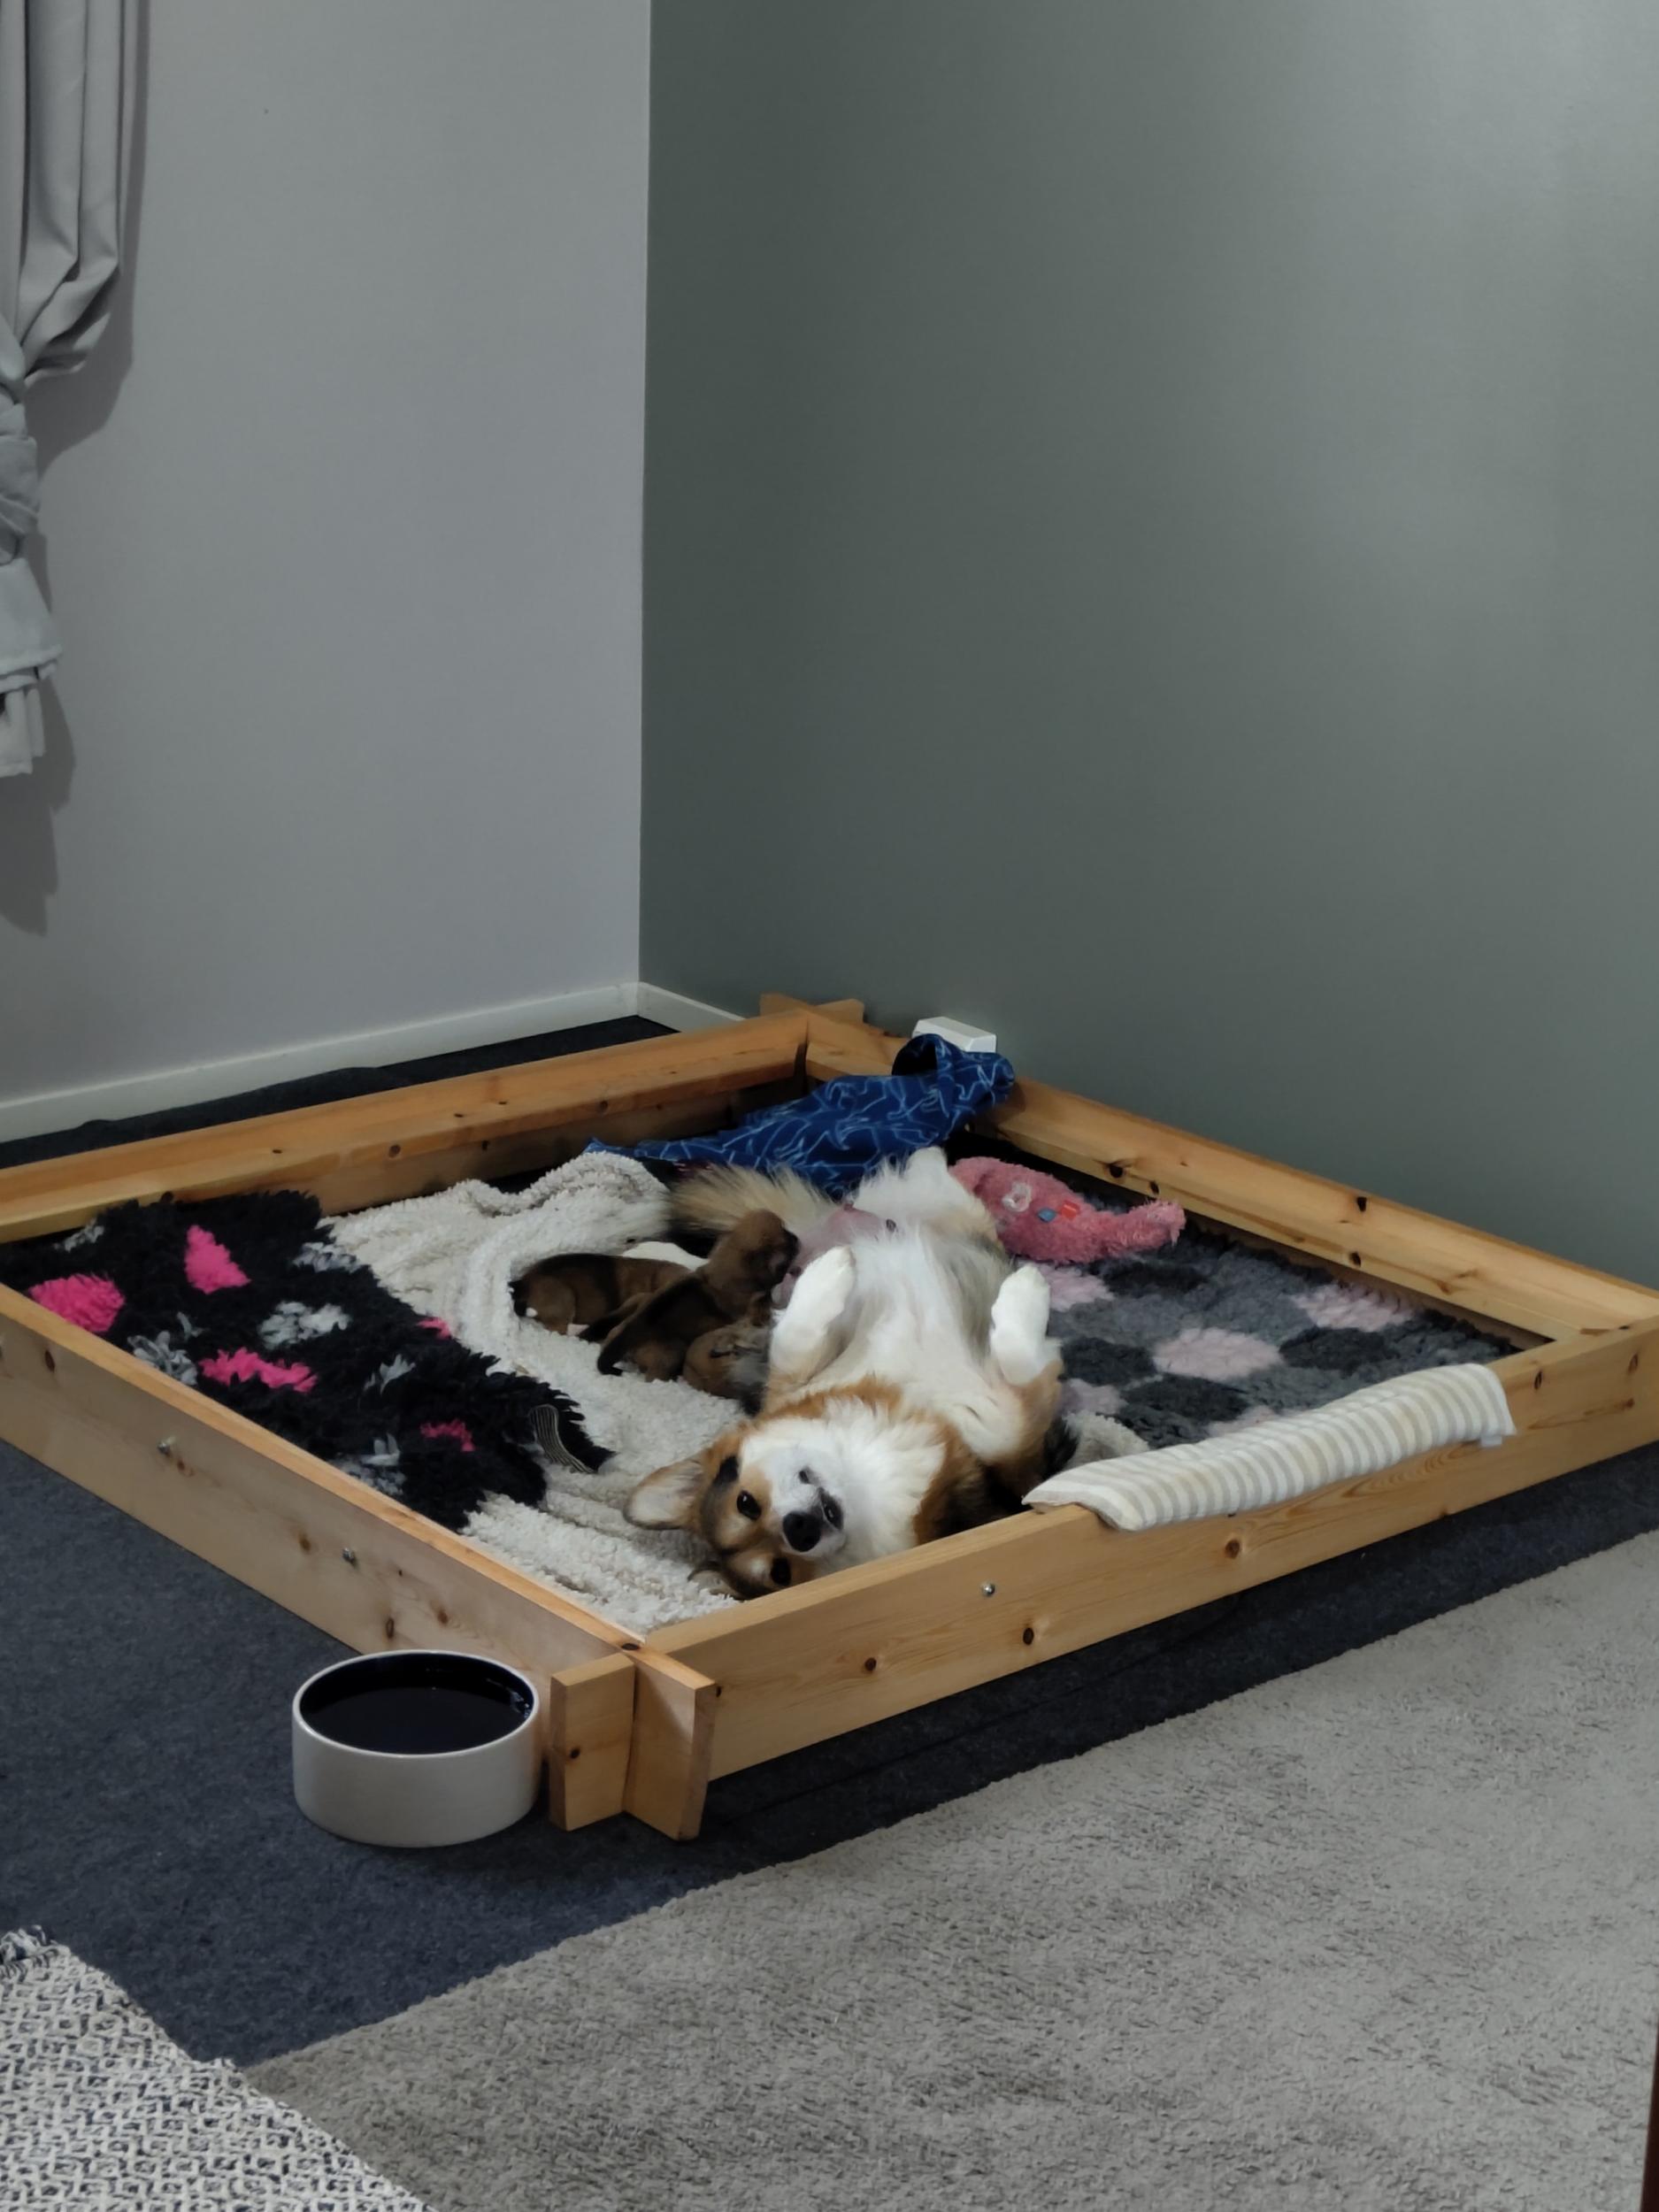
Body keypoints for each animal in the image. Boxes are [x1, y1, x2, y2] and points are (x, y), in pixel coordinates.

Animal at [625, 1150, 1061, 1596]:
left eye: (745, 1503)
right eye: (780, 1572)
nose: (799, 1528)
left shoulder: (801, 1375)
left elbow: (794, 1336)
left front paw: (827, 1273)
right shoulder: (1012, 1451)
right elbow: (1008, 1402)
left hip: (941, 1213)